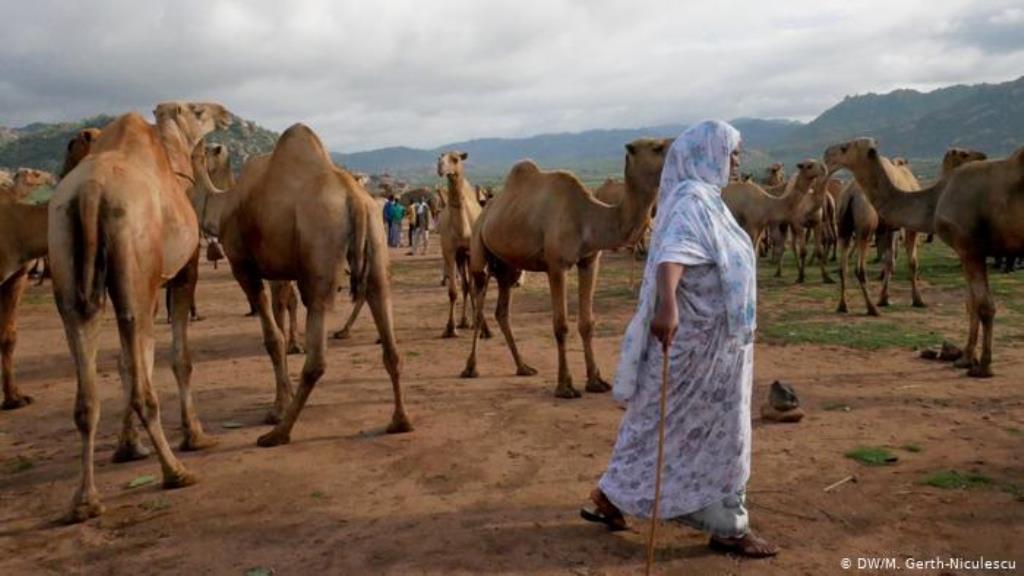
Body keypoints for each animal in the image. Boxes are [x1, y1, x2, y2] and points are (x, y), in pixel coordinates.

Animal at [48, 101, 230, 520]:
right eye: (199, 110)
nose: (226, 113)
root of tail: (91, 191)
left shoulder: (144, 286)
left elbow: (128, 363)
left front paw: (128, 447)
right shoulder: (180, 274)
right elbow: (177, 358)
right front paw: (195, 436)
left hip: (68, 265)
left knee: (86, 390)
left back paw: (85, 501)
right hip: (133, 258)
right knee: (145, 381)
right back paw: (176, 471)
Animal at [188, 123, 411, 440]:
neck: (224, 204)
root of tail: (355, 198)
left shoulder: (245, 267)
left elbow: (273, 337)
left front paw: (276, 410)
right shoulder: (281, 269)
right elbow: (282, 316)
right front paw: (282, 396)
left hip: (320, 247)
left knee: (317, 353)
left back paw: (278, 433)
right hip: (376, 241)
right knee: (387, 328)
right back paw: (400, 421)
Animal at [436, 151, 491, 336]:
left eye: (455, 159)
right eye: (440, 157)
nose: (440, 166)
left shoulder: (472, 252)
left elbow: (475, 288)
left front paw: (478, 325)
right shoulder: (450, 252)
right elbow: (453, 291)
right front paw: (450, 328)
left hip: (468, 256)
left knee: (471, 286)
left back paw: (473, 322)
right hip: (460, 257)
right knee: (466, 286)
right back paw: (464, 321)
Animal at [460, 138, 667, 397]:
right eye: (658, 147)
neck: (587, 217)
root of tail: (485, 211)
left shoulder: (589, 261)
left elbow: (587, 323)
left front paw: (596, 381)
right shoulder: (556, 265)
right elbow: (561, 324)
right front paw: (565, 385)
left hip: (509, 266)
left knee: (502, 311)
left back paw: (523, 367)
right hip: (479, 251)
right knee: (479, 308)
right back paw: (470, 368)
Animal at [827, 135, 1019, 377]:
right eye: (963, 153)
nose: (983, 155)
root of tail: (851, 193)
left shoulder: (891, 229)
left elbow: (890, 261)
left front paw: (885, 298)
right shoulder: (910, 230)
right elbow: (911, 263)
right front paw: (916, 300)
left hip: (845, 228)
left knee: (843, 266)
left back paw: (843, 305)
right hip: (864, 228)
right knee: (858, 268)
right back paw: (871, 309)